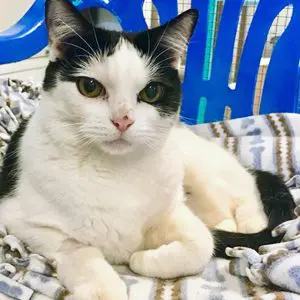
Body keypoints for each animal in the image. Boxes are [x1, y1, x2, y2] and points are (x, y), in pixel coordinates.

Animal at [0, 0, 296, 298]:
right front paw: (103, 286)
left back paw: (244, 222)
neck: (114, 171)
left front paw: (141, 259)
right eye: (90, 87)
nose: (123, 120)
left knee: (245, 194)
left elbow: (202, 242)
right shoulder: (20, 220)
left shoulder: (172, 212)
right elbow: (76, 248)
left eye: (151, 92)